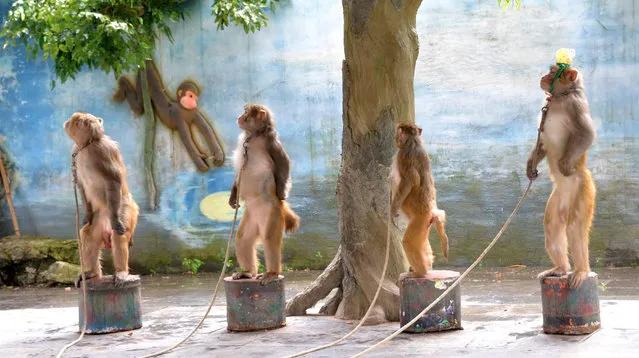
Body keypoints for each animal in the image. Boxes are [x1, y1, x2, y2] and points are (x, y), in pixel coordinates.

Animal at [63, 110, 140, 286]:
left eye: (71, 119)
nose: (66, 122)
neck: (87, 145)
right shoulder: (75, 151)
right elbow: (81, 185)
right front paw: (86, 216)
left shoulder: (102, 150)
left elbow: (113, 180)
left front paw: (116, 221)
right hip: (100, 218)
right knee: (87, 235)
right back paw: (91, 272)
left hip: (125, 208)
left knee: (118, 234)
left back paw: (121, 272)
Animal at [229, 103, 302, 286]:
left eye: (246, 113)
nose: (239, 116)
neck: (254, 136)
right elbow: (238, 175)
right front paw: (233, 195)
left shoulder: (271, 142)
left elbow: (284, 163)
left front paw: (282, 193)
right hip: (251, 217)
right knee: (243, 239)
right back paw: (247, 272)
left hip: (272, 213)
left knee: (269, 239)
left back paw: (272, 273)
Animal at [390, 121, 450, 278]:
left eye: (398, 132)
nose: (395, 137)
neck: (414, 142)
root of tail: (429, 213)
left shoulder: (404, 155)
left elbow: (409, 180)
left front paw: (392, 210)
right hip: (425, 222)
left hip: (419, 220)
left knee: (408, 241)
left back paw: (420, 272)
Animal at [528, 56, 596, 290]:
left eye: (552, 72)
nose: (542, 76)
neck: (560, 98)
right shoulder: (547, 109)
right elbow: (541, 142)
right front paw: (530, 168)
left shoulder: (576, 105)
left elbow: (587, 133)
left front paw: (565, 165)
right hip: (558, 198)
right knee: (552, 226)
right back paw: (561, 268)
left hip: (583, 190)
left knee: (575, 228)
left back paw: (581, 270)